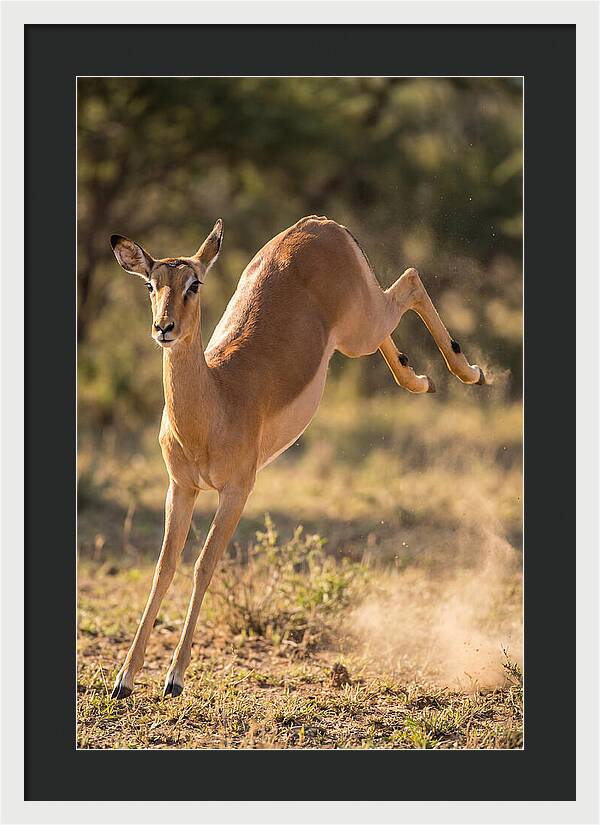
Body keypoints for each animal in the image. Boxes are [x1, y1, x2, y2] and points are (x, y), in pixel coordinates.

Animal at [109, 215, 485, 699]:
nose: (164, 328)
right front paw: (124, 678)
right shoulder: (181, 488)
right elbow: (163, 568)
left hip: (360, 327)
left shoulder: (237, 491)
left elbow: (203, 565)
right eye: (151, 284)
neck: (215, 401)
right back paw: (420, 379)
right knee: (399, 307)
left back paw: (469, 372)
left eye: (194, 283)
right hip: (357, 330)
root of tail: (320, 223)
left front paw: (174, 677)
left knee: (412, 280)